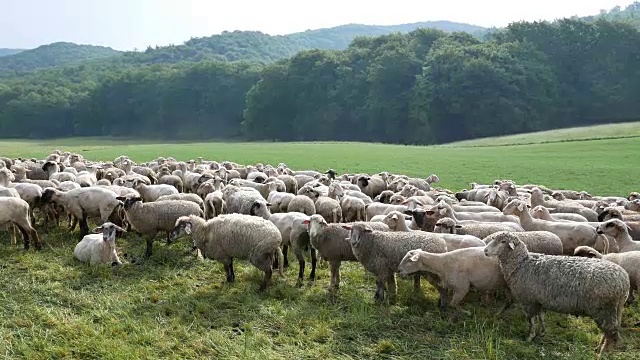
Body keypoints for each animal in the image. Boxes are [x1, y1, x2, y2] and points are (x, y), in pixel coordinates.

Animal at [484, 232, 624, 356]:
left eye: (503, 241)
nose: (485, 250)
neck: (521, 264)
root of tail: (624, 282)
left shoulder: (528, 300)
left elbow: (531, 321)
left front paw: (530, 337)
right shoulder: (538, 299)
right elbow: (541, 316)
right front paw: (542, 332)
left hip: (604, 309)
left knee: (613, 335)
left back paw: (602, 353)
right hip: (612, 311)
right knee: (609, 332)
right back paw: (599, 347)